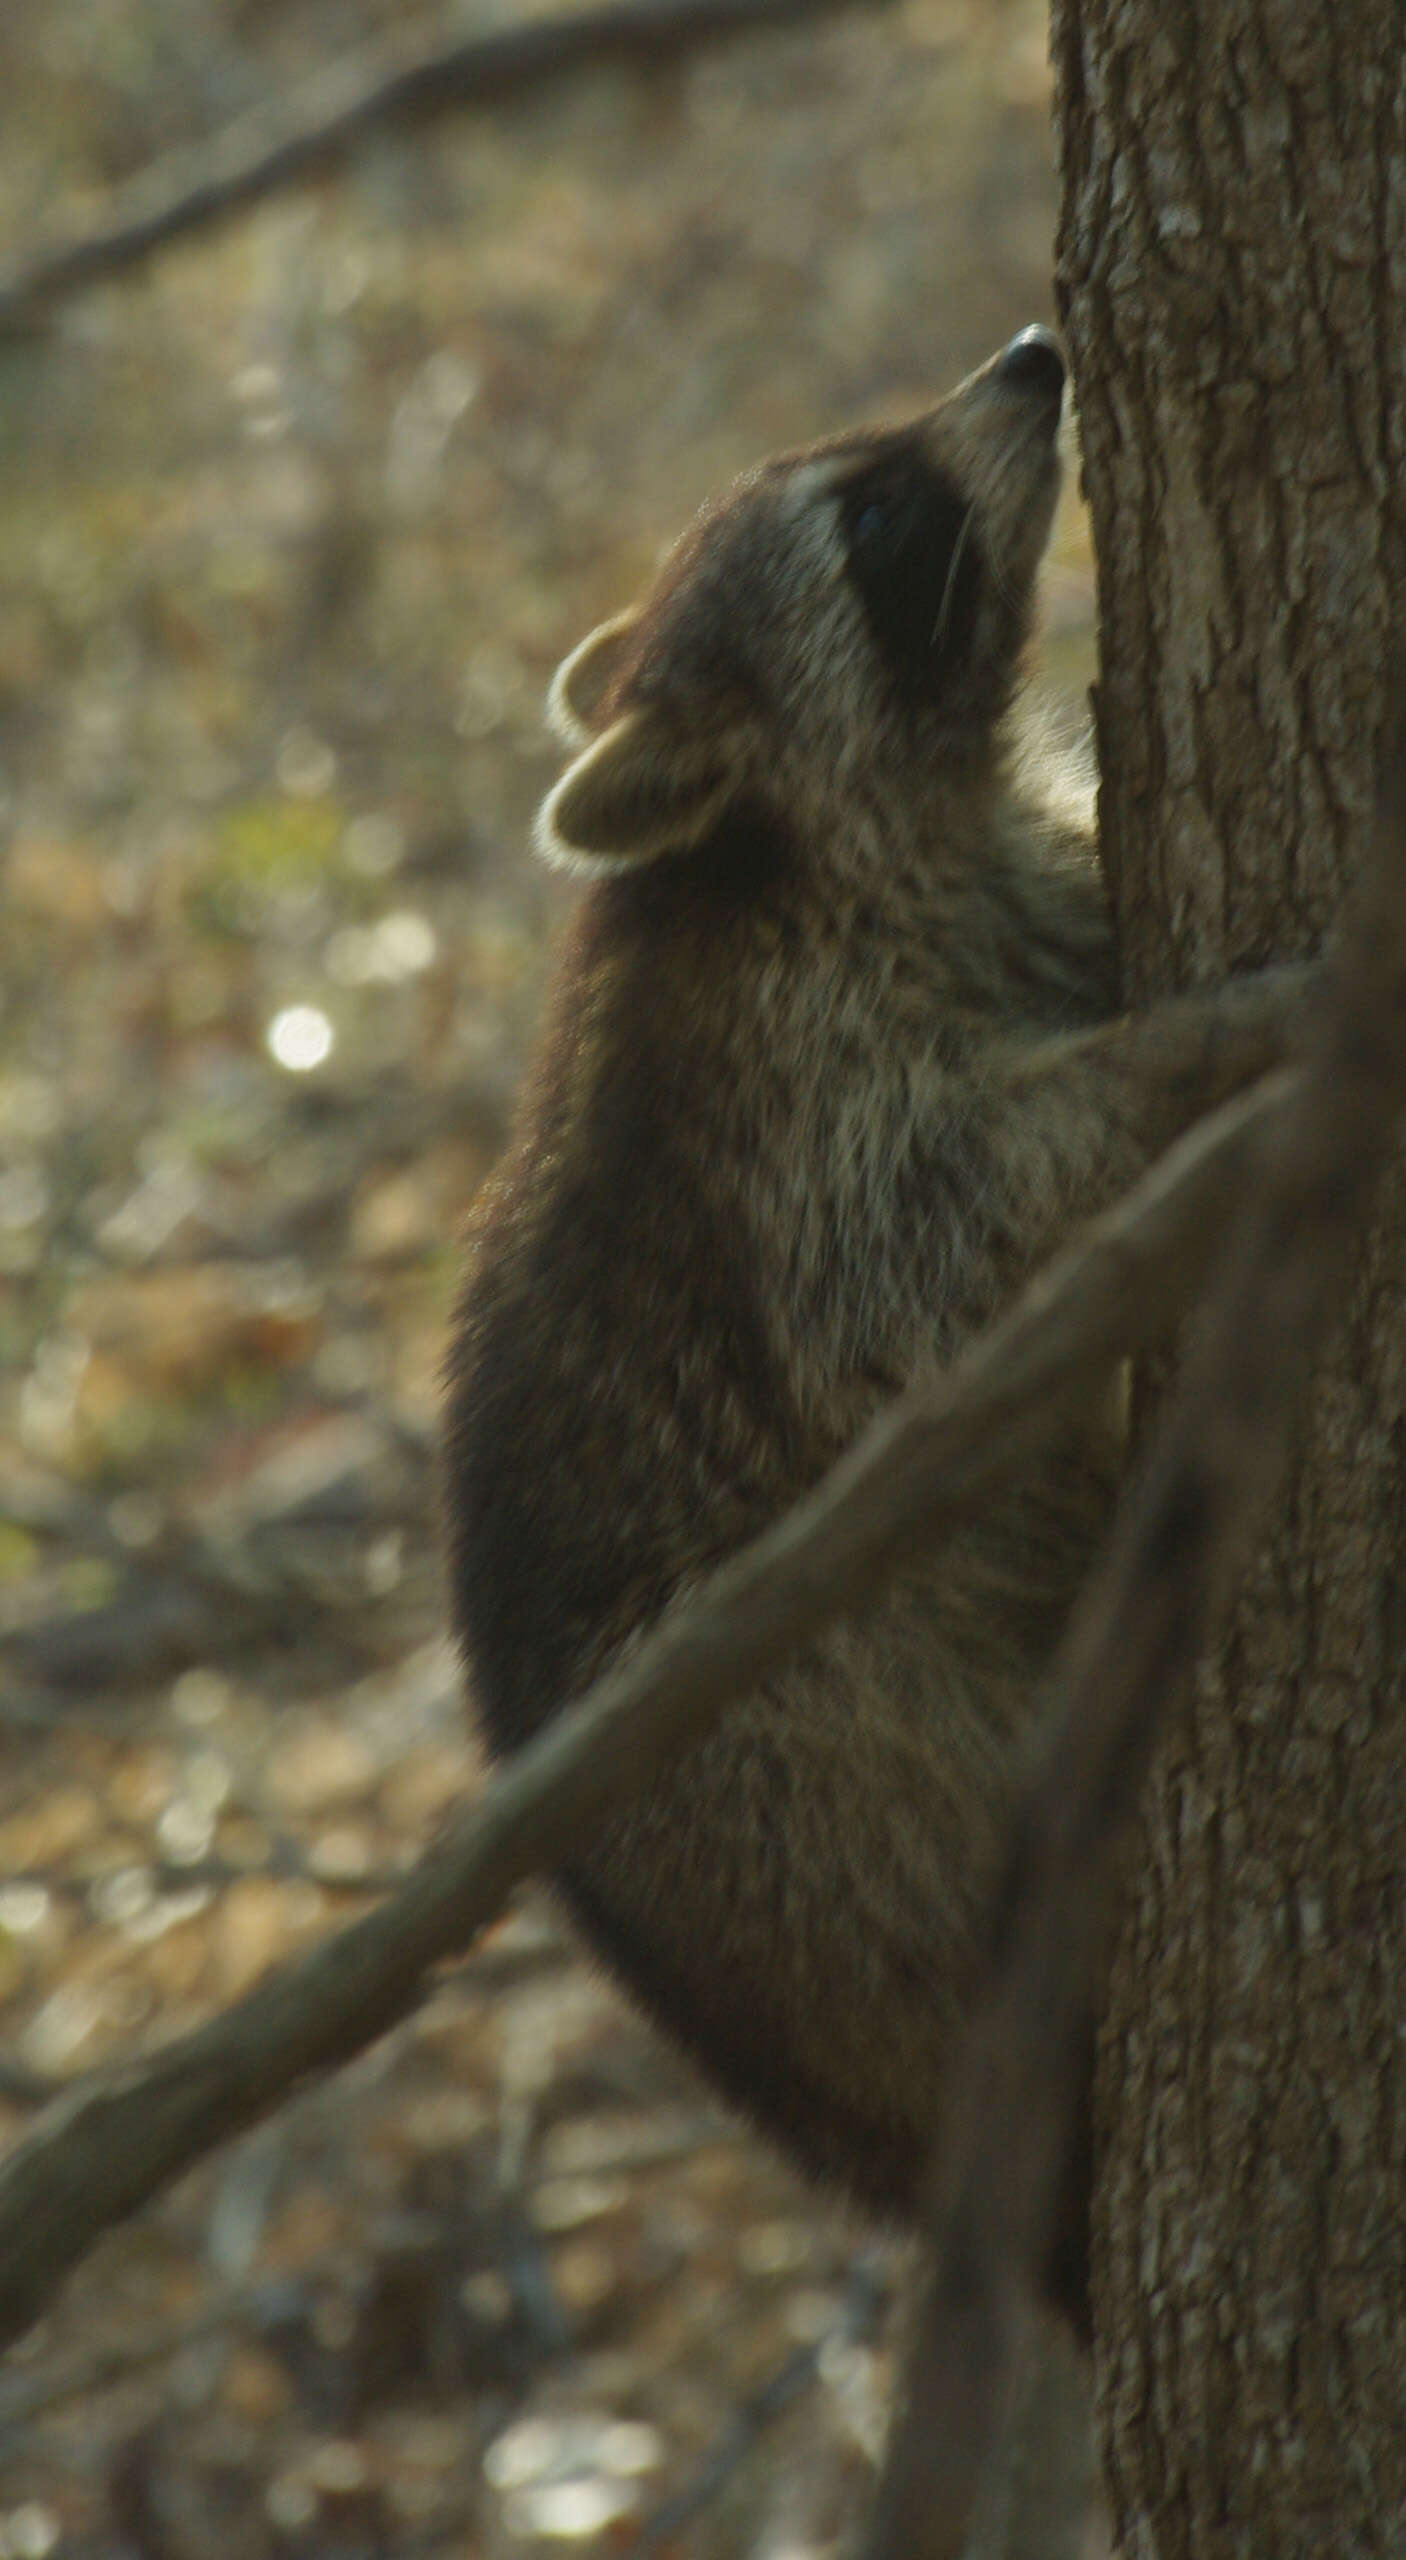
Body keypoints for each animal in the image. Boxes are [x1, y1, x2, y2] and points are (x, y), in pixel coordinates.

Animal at [443, 325, 1300, 2324]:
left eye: (859, 469)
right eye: (879, 518)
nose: (1038, 350)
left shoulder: (1018, 885)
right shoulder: (781, 1105)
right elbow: (930, 1248)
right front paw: (1179, 1056)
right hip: (777, 1808)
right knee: (874, 1770)